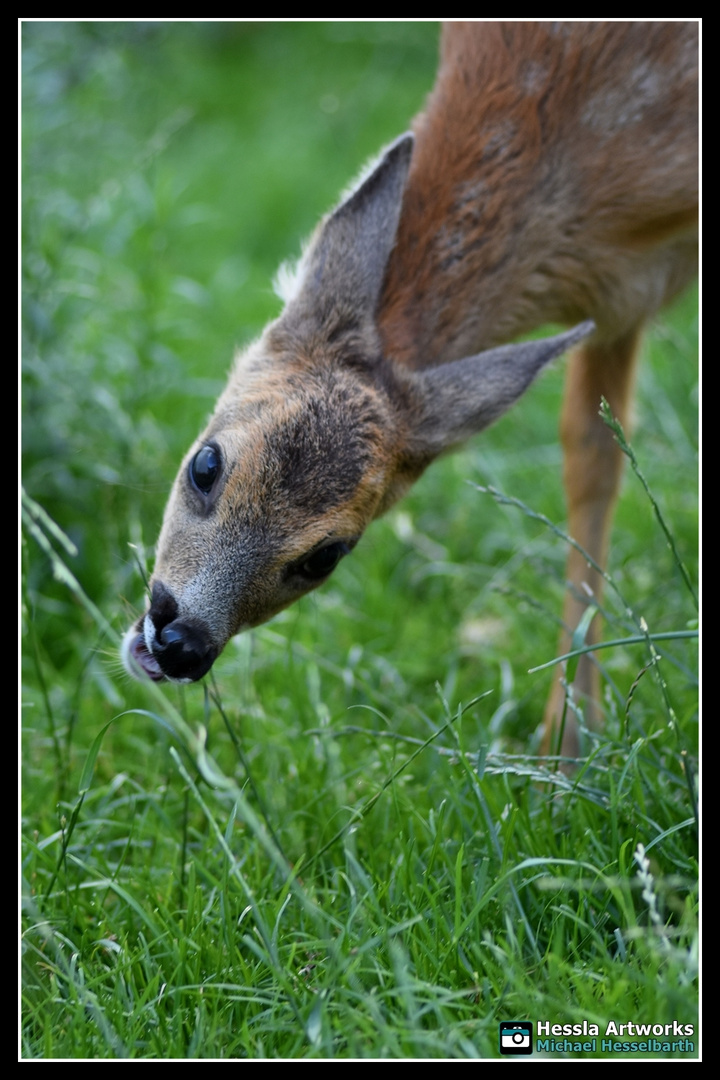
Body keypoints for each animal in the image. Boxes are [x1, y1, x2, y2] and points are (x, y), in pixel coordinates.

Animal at [120, 19, 695, 760]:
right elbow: (591, 455)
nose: (180, 641)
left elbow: (598, 461)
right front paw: (570, 736)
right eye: (206, 464)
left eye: (326, 557)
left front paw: (567, 744)